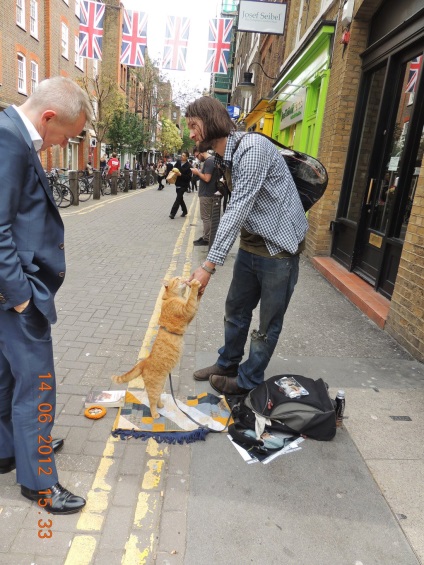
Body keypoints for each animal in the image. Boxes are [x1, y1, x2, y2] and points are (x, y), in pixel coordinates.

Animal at [111, 276, 200, 416]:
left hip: (161, 384)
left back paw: (161, 405)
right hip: (155, 387)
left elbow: (196, 301)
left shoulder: (190, 315)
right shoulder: (186, 310)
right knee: (151, 401)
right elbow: (192, 299)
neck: (171, 298)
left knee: (157, 398)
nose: (185, 278)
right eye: (177, 278)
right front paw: (196, 285)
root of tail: (144, 362)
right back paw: (155, 414)